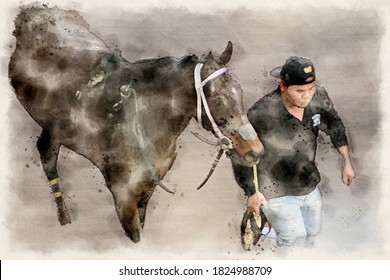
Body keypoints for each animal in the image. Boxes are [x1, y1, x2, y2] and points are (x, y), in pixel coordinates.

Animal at [9, 6, 264, 243]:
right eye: (218, 99)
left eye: (240, 93)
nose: (255, 151)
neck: (144, 123)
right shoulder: (122, 194)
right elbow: (134, 234)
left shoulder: (148, 186)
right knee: (48, 160)